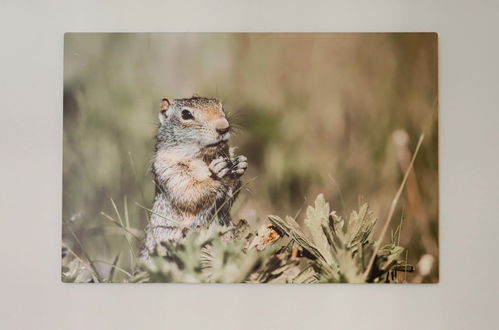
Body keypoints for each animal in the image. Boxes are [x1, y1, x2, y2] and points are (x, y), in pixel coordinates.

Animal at [141, 94, 248, 260]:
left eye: (221, 107)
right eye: (186, 114)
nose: (224, 127)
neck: (206, 157)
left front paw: (240, 165)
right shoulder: (170, 171)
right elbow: (190, 192)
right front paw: (218, 174)